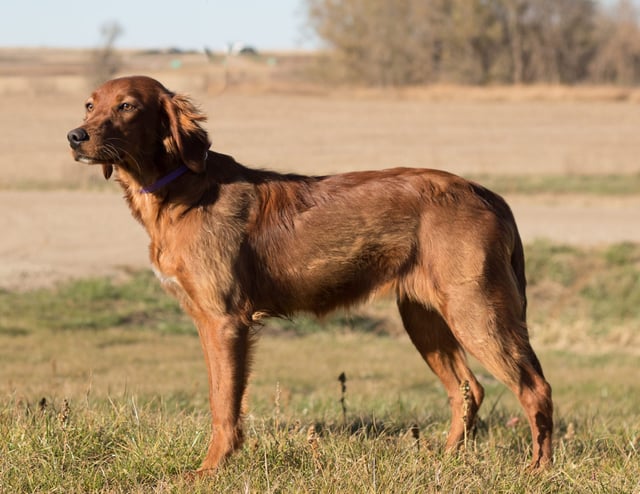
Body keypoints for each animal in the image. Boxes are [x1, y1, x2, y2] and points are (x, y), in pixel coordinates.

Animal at [67, 75, 552, 472]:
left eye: (127, 106)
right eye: (89, 104)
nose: (74, 136)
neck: (181, 189)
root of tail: (484, 192)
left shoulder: (225, 320)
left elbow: (224, 403)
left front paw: (209, 470)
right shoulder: (207, 321)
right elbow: (220, 397)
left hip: (478, 313)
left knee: (535, 388)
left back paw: (537, 470)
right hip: (426, 318)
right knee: (468, 389)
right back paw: (445, 461)